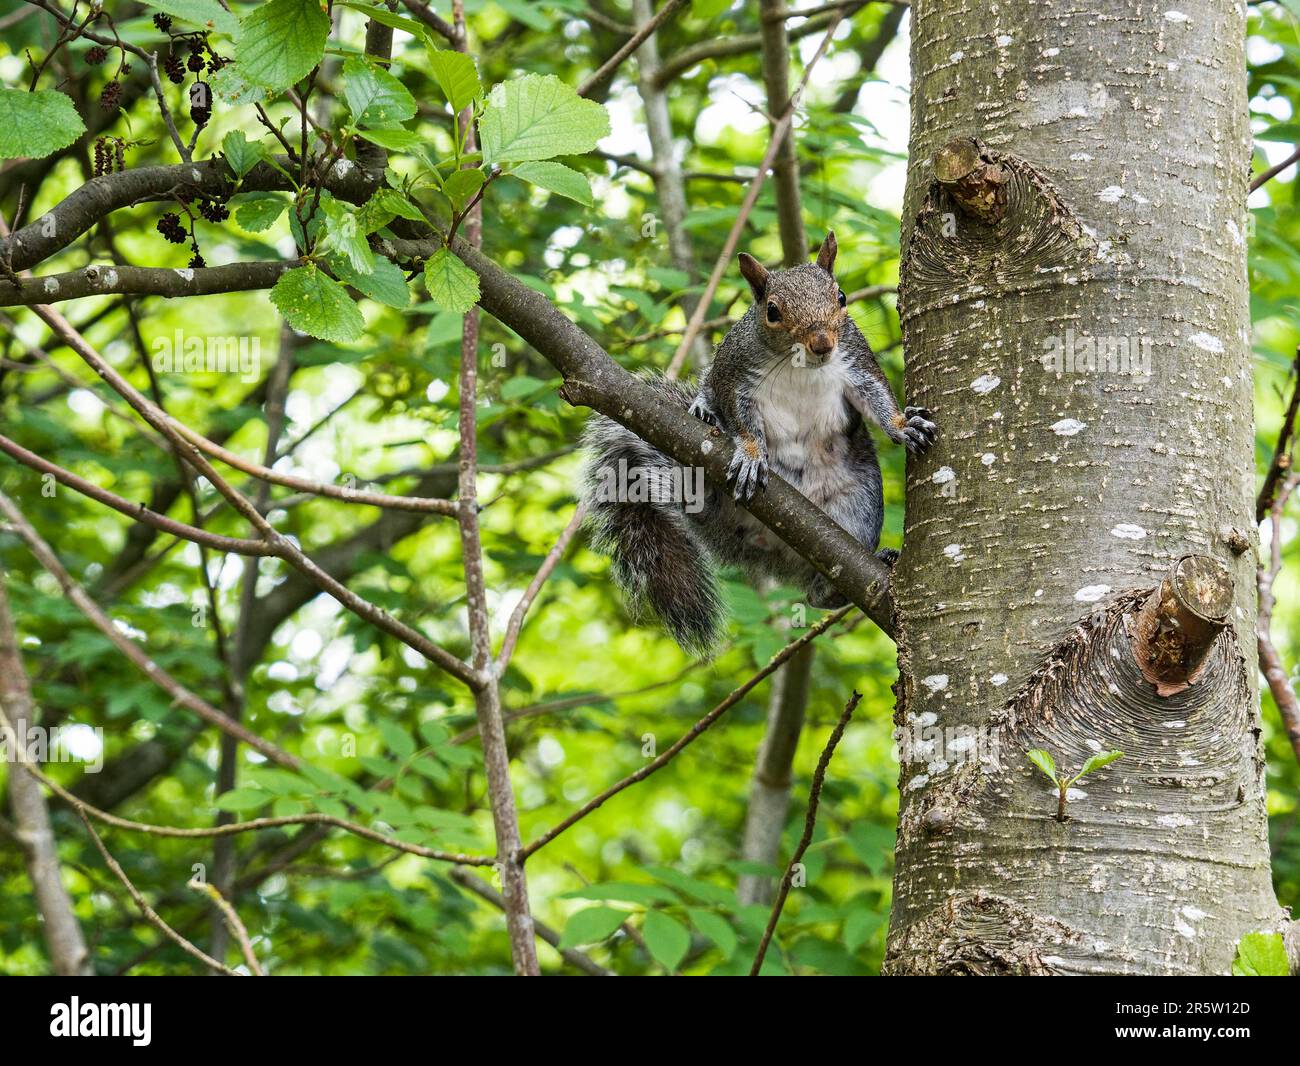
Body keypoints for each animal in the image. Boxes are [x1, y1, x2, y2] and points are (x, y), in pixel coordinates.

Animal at [582, 228, 935, 652]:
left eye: (841, 297)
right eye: (772, 311)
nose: (822, 343)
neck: (799, 364)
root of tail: (773, 550)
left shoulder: (854, 360)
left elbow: (876, 395)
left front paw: (903, 425)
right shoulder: (734, 374)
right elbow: (736, 413)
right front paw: (749, 453)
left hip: (860, 506)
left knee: (817, 589)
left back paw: (841, 582)